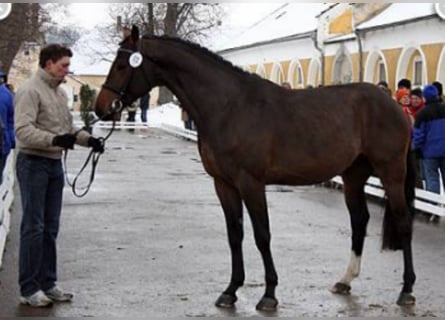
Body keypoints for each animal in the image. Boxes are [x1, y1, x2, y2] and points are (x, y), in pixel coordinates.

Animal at [94, 26, 416, 312]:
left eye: (121, 65)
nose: (101, 108)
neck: (229, 107)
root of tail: (391, 104)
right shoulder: (223, 184)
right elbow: (234, 234)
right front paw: (230, 290)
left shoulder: (251, 183)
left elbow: (262, 235)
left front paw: (269, 295)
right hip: (353, 175)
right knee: (359, 221)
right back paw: (345, 280)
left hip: (391, 172)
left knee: (403, 221)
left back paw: (407, 290)